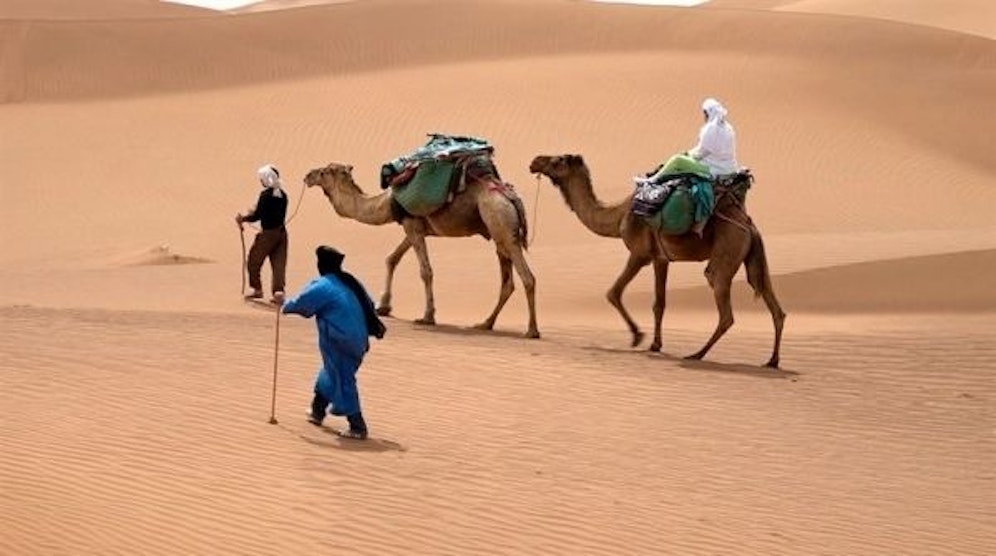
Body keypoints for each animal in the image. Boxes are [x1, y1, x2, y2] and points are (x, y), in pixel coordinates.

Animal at [304, 162, 540, 339]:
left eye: (324, 172)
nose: (307, 176)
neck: (385, 203)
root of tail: (512, 198)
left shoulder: (413, 227)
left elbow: (426, 271)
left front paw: (427, 317)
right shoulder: (414, 227)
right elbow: (392, 258)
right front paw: (383, 306)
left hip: (501, 223)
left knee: (527, 276)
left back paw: (531, 330)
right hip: (498, 229)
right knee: (507, 281)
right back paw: (485, 323)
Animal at [529, 154, 785, 367]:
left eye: (557, 161)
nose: (534, 161)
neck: (618, 216)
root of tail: (749, 224)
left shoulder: (639, 254)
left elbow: (613, 292)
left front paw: (637, 336)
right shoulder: (661, 259)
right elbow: (658, 303)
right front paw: (655, 344)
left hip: (727, 250)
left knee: (725, 308)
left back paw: (697, 354)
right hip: (753, 257)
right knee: (772, 301)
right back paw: (772, 360)